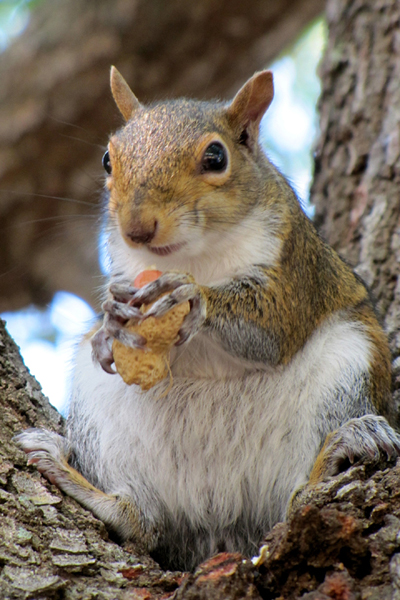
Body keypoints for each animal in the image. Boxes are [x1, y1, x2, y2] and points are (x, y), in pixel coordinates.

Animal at [14, 65, 400, 572]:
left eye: (216, 157)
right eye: (107, 160)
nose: (137, 228)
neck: (195, 255)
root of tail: (219, 527)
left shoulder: (292, 269)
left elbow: (270, 329)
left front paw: (191, 294)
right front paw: (109, 323)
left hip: (346, 368)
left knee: (299, 501)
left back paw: (338, 454)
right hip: (104, 413)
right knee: (139, 520)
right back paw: (68, 472)